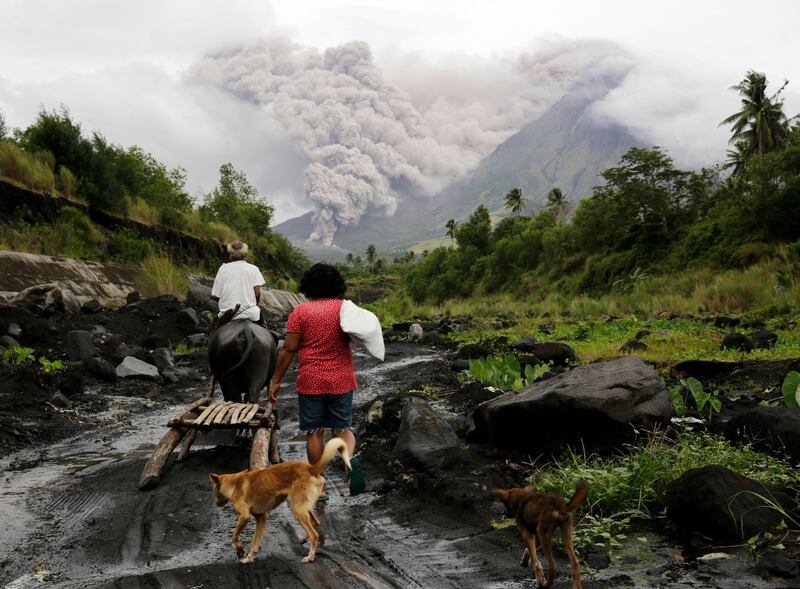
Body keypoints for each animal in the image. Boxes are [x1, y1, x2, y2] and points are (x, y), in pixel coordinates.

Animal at [209, 438, 350, 564]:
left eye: (214, 490)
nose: (216, 504)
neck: (234, 483)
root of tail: (311, 468)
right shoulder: (261, 518)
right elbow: (254, 542)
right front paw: (249, 558)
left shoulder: (244, 516)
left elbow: (234, 535)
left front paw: (239, 551)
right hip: (303, 507)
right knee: (316, 523)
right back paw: (303, 540)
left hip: (297, 509)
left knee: (314, 534)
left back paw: (310, 557)